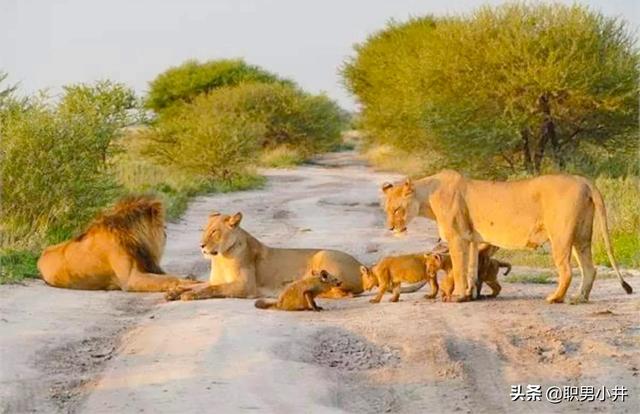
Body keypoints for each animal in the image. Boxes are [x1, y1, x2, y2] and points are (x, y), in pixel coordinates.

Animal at [37, 196, 198, 292]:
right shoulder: (130, 279)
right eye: (161, 225)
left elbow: (170, 275)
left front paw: (189, 278)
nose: (165, 233)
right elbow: (169, 278)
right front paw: (186, 284)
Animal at [382, 170, 632, 302]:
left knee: (567, 270)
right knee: (590, 268)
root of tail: (584, 180)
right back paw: (579, 298)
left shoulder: (457, 238)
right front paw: (470, 295)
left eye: (397, 209)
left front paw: (459, 296)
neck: (427, 197)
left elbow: (460, 269)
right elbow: (471, 269)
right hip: (581, 236)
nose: (391, 228)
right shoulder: (472, 239)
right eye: (387, 209)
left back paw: (555, 298)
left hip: (561, 235)